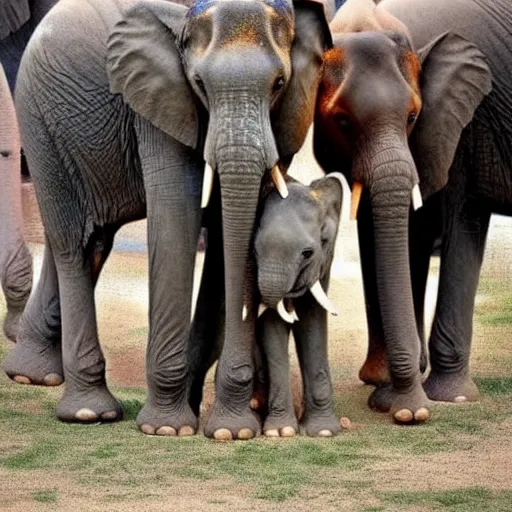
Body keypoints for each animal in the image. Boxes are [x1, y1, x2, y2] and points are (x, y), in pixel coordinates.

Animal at [4, 0, 332, 440]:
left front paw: (230, 430)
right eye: (198, 83)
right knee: (74, 242)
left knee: (96, 240)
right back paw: (88, 411)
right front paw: (168, 428)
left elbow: (230, 234)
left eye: (279, 83)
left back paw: (32, 375)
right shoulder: (160, 102)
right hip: (39, 119)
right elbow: (177, 214)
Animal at [255, 174, 350, 438]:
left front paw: (324, 432)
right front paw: (281, 431)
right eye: (254, 250)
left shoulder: (322, 264)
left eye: (308, 253)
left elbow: (311, 323)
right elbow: (272, 325)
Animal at [312, 0, 508, 424]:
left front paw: (447, 398)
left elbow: (460, 220)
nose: (410, 413)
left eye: (412, 117)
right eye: (342, 121)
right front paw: (390, 390)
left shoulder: (461, 124)